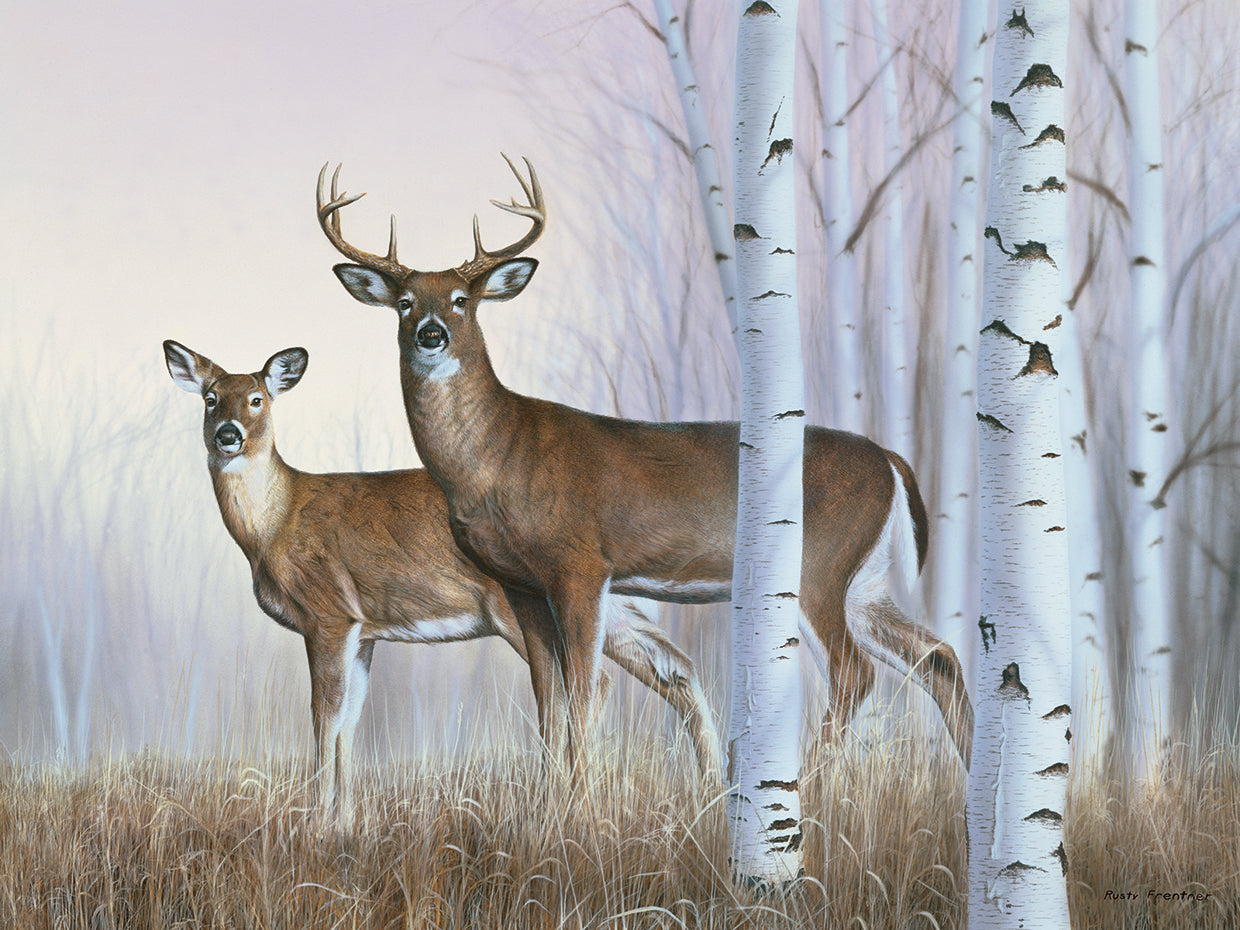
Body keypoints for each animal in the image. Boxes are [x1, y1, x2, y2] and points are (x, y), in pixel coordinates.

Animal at [163, 339, 724, 828]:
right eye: (211, 398)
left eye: (257, 399)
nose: (228, 434)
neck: (275, 523)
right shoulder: (364, 630)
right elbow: (347, 726)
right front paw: (344, 824)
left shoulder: (328, 613)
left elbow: (324, 721)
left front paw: (315, 823)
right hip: (618, 603)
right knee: (675, 668)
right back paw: (710, 796)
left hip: (520, 606)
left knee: (596, 681)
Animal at [316, 156, 975, 777]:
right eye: (404, 303)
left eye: (461, 301)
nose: (431, 335)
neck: (500, 455)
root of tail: (891, 459)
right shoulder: (519, 583)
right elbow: (548, 701)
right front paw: (553, 798)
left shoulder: (581, 563)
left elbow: (582, 691)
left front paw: (580, 799)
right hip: (865, 582)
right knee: (938, 656)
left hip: (820, 563)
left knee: (856, 673)